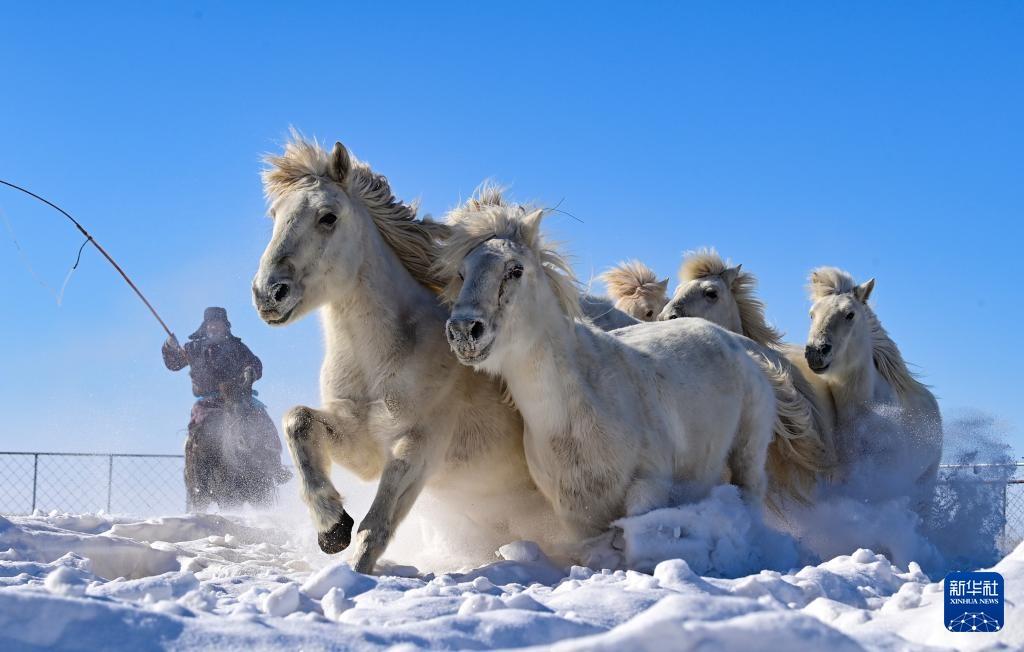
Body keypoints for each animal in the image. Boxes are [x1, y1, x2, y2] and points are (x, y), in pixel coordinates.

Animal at [251, 135, 568, 573]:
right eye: (274, 215)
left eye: (328, 217)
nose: (268, 294)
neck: (383, 356)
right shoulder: (363, 448)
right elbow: (297, 421)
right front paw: (331, 527)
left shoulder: (420, 446)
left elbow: (376, 526)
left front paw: (354, 567)